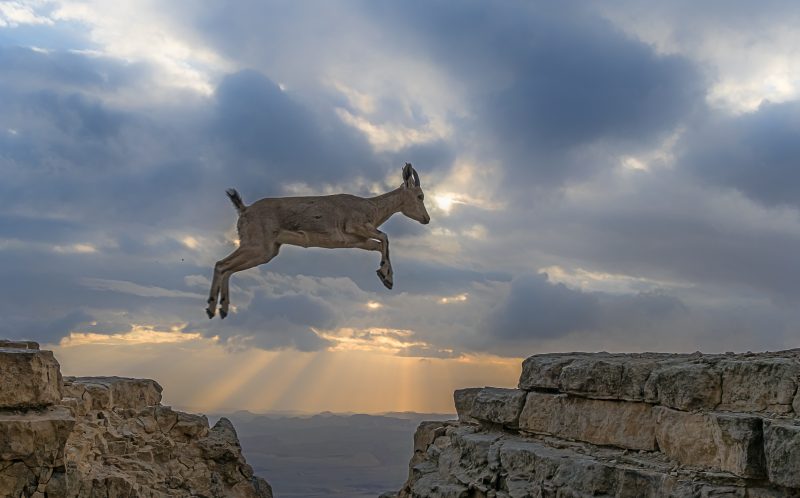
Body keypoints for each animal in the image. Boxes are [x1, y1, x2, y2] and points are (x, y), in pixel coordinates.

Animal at [208, 163, 432, 320]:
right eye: (420, 196)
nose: (426, 218)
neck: (372, 208)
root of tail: (244, 210)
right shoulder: (355, 227)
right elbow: (385, 237)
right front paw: (387, 278)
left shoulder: (359, 241)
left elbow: (379, 244)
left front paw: (384, 276)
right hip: (257, 246)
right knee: (221, 265)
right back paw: (211, 308)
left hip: (266, 251)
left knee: (228, 268)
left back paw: (222, 310)